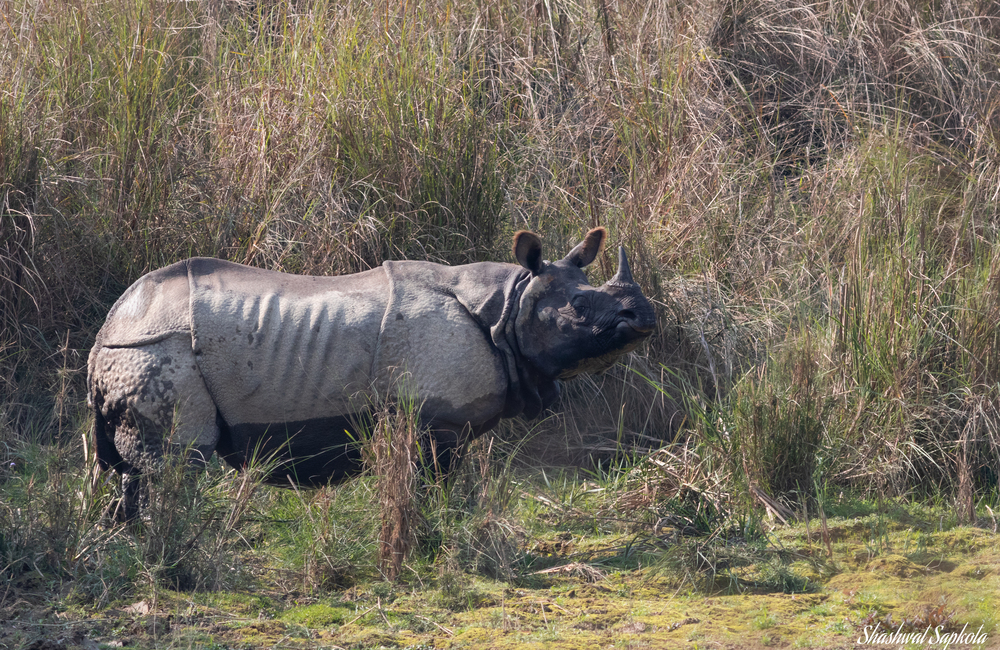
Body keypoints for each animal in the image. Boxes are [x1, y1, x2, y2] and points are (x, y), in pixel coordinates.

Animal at [87, 228, 655, 507]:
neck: (510, 307)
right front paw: (437, 526)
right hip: (158, 351)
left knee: (132, 468)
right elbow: (432, 484)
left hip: (136, 350)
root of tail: (108, 327)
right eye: (578, 310)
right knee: (177, 462)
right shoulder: (434, 421)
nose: (645, 317)